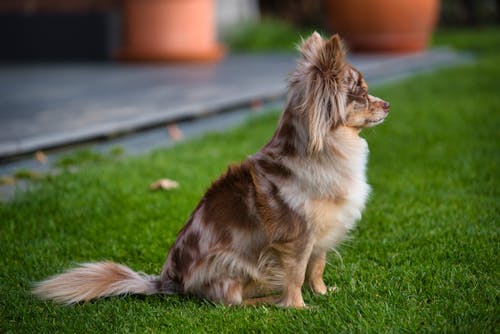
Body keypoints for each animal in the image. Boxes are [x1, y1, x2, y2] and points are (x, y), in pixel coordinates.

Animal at [33, 32, 390, 310]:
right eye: (361, 94)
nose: (387, 105)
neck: (332, 148)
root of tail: (169, 281)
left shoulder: (322, 235)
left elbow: (316, 268)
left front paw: (324, 293)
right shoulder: (297, 238)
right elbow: (296, 274)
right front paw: (299, 307)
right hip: (231, 263)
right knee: (229, 301)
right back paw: (265, 302)